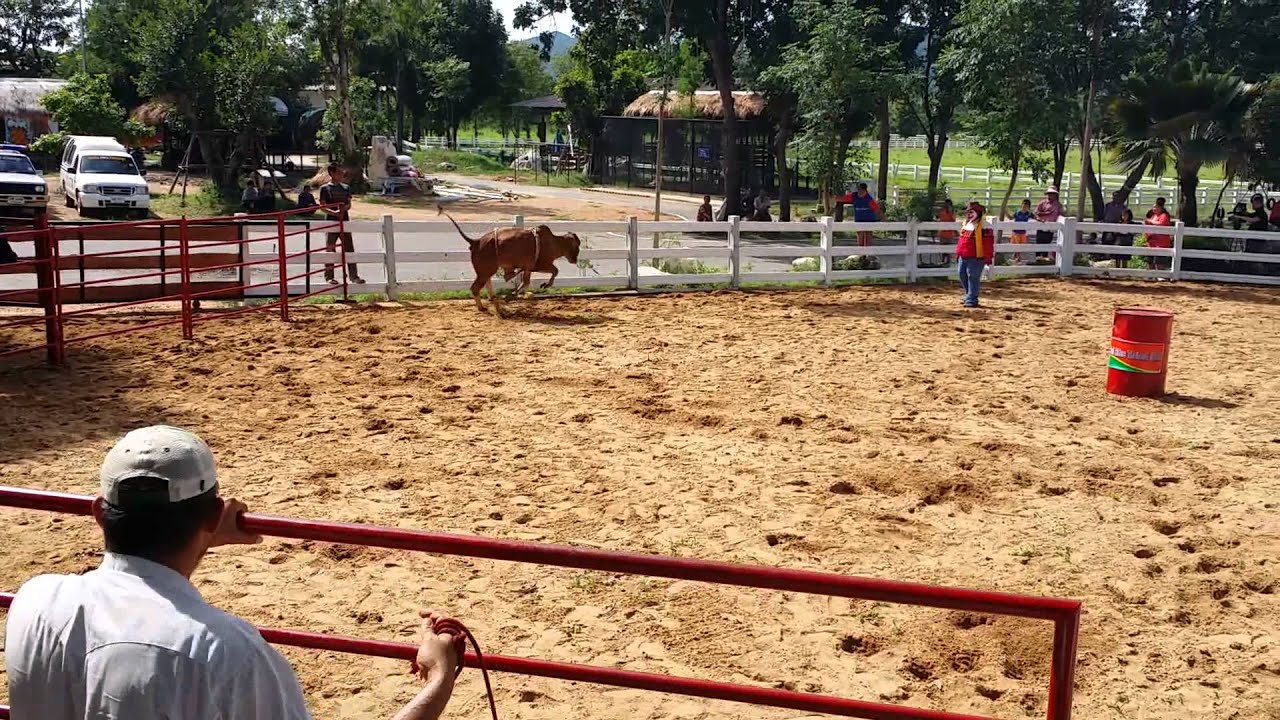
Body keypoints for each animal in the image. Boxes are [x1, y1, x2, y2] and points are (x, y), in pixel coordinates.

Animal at [440, 210, 581, 316]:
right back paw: (487, 308)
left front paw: (514, 293)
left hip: (485, 272)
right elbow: (555, 271)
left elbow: (525, 282)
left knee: (486, 285)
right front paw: (545, 284)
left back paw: (496, 303)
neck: (555, 243)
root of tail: (475, 242)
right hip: (485, 271)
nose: (575, 260)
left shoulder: (528, 268)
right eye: (577, 246)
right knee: (475, 288)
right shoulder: (541, 264)